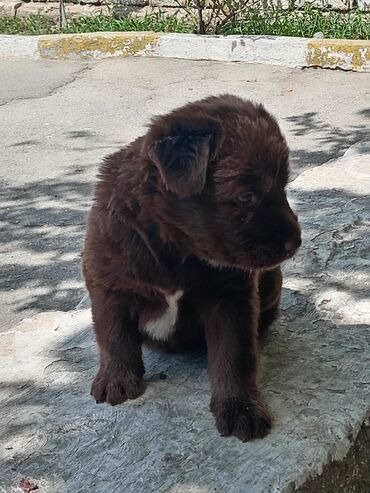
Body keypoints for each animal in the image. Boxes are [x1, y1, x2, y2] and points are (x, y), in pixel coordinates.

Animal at [83, 94, 300, 440]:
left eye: (283, 185)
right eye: (245, 197)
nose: (295, 243)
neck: (176, 247)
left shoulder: (231, 297)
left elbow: (234, 355)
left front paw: (241, 409)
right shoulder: (109, 283)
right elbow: (114, 336)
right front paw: (116, 381)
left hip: (271, 282)